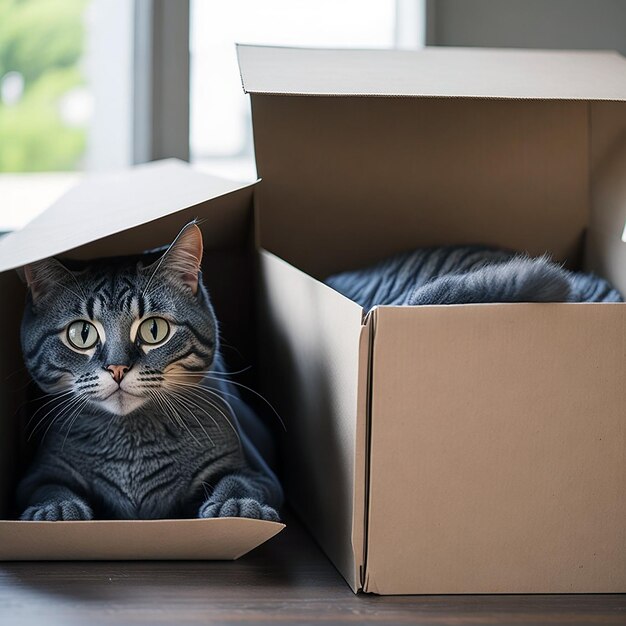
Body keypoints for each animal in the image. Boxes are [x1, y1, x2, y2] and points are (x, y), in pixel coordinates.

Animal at [17, 223, 280, 520]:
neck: (132, 448)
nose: (117, 367)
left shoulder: (261, 475)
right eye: (82, 333)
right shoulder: (39, 475)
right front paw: (57, 509)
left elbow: (238, 480)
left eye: (154, 329)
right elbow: (49, 488)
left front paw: (235, 505)